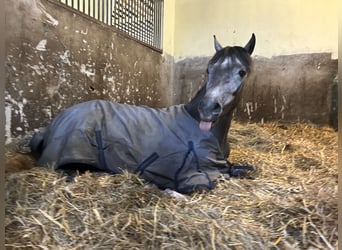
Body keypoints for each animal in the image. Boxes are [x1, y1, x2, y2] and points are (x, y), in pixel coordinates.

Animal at [29, 33, 255, 193]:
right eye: (208, 70)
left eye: (241, 72)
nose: (207, 108)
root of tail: (51, 126)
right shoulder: (192, 177)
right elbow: (215, 180)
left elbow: (244, 170)